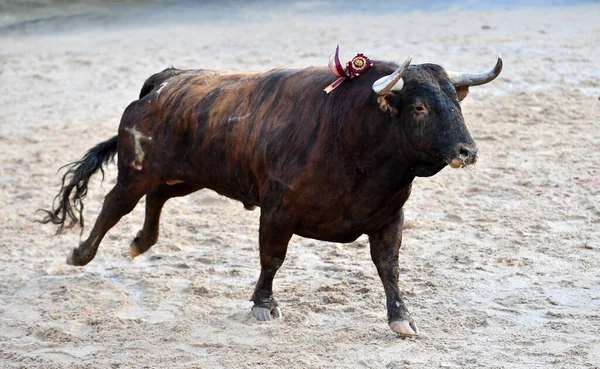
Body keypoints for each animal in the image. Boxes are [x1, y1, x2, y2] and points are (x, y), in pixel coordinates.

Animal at [41, 50, 502, 334]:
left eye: (457, 103)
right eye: (420, 107)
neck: (351, 135)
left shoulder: (390, 217)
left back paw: (140, 243)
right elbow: (272, 258)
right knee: (114, 205)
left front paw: (401, 319)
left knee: (157, 199)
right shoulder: (277, 212)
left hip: (188, 175)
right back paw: (81, 254)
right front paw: (263, 304)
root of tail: (165, 80)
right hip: (137, 170)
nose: (468, 150)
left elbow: (388, 267)